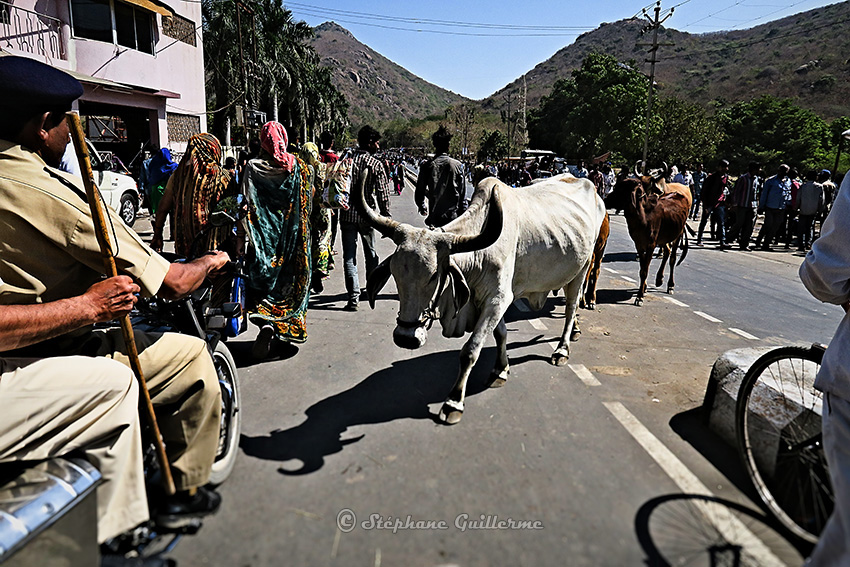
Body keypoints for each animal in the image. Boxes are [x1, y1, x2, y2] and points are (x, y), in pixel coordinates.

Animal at [356, 173, 604, 426]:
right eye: (395, 273)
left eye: (434, 275)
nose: (405, 338)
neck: (478, 257)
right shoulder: (493, 301)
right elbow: (500, 333)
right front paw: (500, 370)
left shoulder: (497, 299)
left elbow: (470, 350)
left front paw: (454, 402)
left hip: (583, 266)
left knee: (571, 307)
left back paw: (562, 349)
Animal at [604, 180, 688, 308]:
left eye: (620, 190)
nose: (605, 200)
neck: (642, 217)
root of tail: (678, 194)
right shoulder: (639, 244)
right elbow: (642, 268)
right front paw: (643, 288)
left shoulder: (650, 245)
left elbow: (645, 271)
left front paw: (639, 297)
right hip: (663, 239)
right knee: (667, 251)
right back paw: (659, 279)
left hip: (678, 234)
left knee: (672, 258)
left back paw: (670, 285)